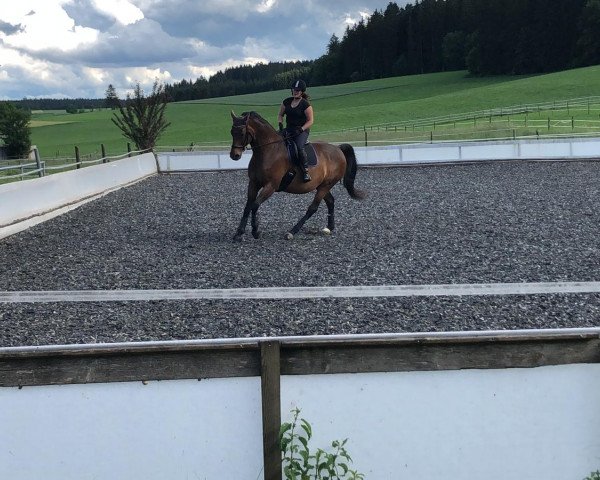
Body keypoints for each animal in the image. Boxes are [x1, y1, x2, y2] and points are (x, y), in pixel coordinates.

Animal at [229, 110, 366, 242]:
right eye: (231, 132)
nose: (234, 155)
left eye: (242, 132)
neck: (269, 150)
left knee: (313, 208)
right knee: (330, 201)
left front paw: (255, 231)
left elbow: (255, 205)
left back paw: (292, 232)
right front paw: (239, 233)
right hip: (321, 185)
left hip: (326, 185)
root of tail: (338, 149)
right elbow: (247, 206)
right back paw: (329, 227)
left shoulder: (271, 186)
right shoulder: (253, 183)